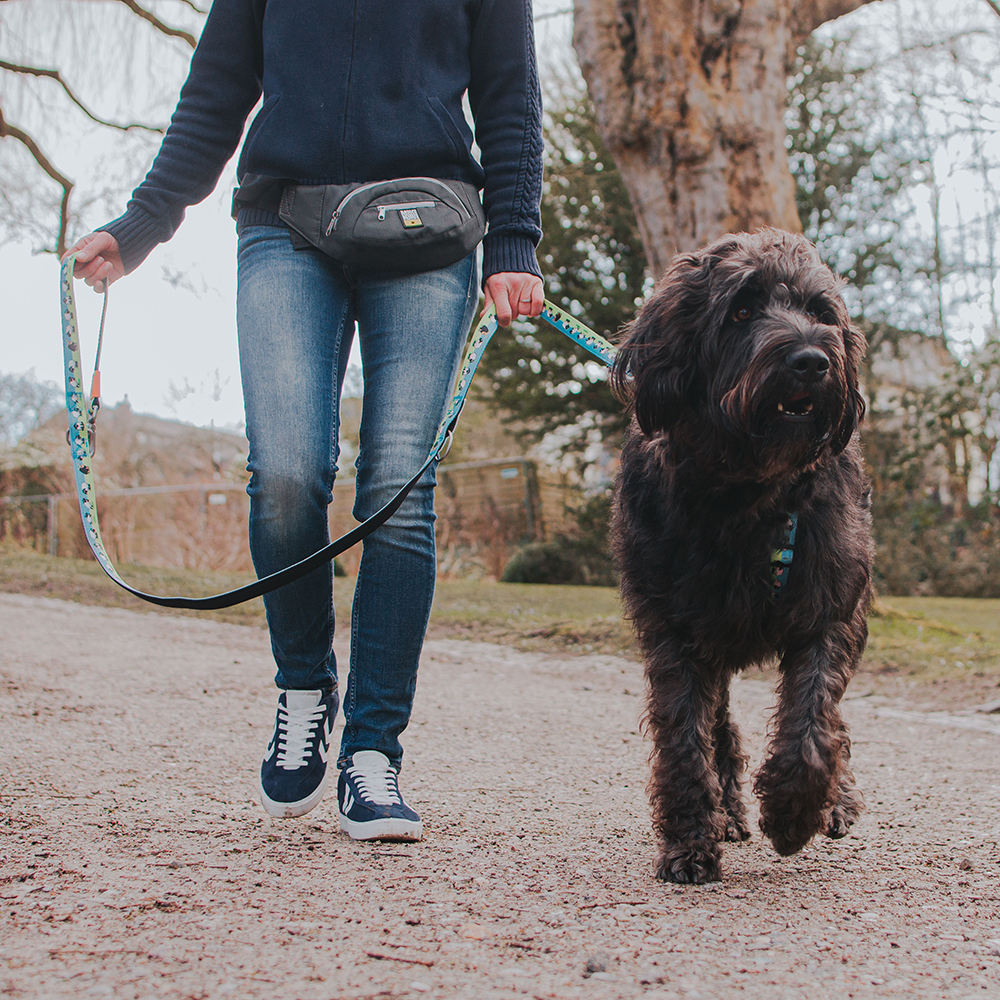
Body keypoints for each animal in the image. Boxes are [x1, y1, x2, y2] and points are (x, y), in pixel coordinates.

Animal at [604, 229, 872, 884]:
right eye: (742, 311)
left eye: (820, 312)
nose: (812, 360)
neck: (749, 494)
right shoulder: (674, 631)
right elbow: (684, 736)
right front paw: (691, 841)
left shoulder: (829, 614)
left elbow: (814, 720)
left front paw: (794, 812)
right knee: (719, 722)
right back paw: (726, 810)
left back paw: (836, 801)